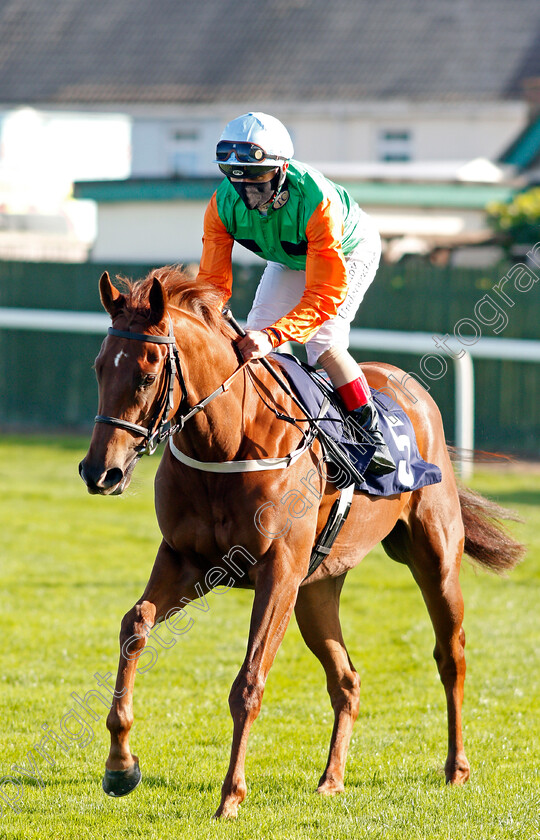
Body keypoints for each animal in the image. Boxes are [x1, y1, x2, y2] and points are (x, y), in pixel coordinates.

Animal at [78, 266, 524, 816]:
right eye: (99, 368)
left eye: (145, 374)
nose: (100, 472)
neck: (227, 442)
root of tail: (412, 390)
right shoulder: (186, 560)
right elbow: (135, 625)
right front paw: (120, 766)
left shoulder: (278, 571)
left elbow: (249, 681)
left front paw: (230, 796)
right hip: (316, 590)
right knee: (347, 679)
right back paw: (331, 778)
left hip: (434, 561)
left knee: (450, 656)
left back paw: (456, 767)